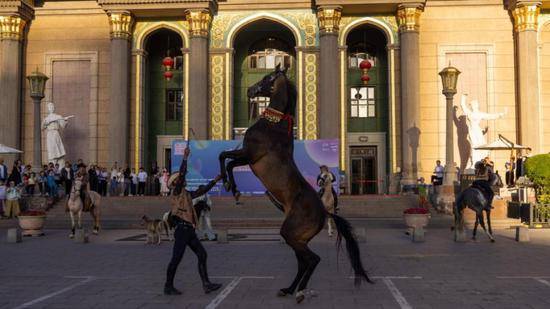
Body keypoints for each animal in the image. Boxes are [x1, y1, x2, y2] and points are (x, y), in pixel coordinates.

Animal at [218, 63, 374, 302]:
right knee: (303, 262)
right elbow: (227, 161)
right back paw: (290, 289)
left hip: (290, 233)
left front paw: (230, 187)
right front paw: (231, 187)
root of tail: (324, 212)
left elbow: (224, 158)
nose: (250, 91)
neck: (273, 126)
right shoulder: (247, 158)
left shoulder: (250, 155)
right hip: (298, 238)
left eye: (268, 77)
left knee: (312, 260)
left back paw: (298, 291)